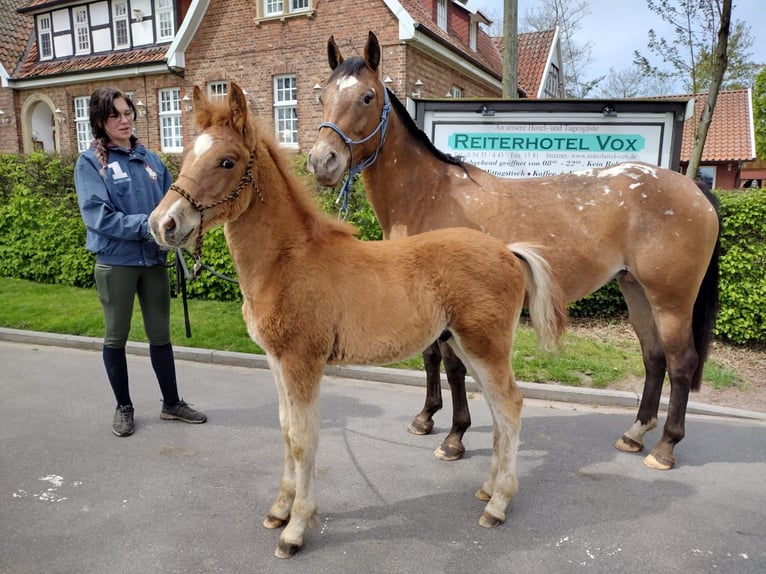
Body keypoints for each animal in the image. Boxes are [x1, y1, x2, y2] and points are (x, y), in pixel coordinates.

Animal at [148, 84, 568, 560]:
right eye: (186, 155)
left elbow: (303, 439)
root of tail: (508, 251)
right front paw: (279, 510)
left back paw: (498, 505)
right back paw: (487, 489)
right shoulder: (276, 361)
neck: (286, 262)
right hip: (466, 345)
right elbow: (285, 431)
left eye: (227, 161)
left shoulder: (303, 362)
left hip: (486, 346)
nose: (162, 224)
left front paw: (295, 529)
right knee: (498, 411)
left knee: (511, 407)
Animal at [308, 31, 724, 472]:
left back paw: (665, 447)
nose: (321, 162)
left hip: (671, 299)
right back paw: (634, 434)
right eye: (323, 96)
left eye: (367, 97)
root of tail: (695, 189)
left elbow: (453, 367)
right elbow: (431, 358)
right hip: (636, 290)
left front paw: (454, 437)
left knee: (681, 362)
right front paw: (425, 419)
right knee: (654, 357)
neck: (429, 193)